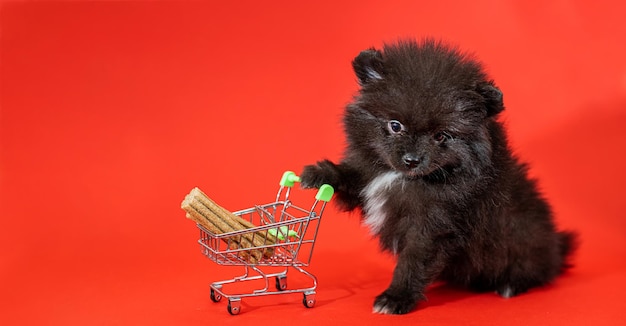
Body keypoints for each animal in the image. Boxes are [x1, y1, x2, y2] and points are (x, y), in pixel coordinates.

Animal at [300, 39, 572, 314]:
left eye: (441, 136)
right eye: (395, 125)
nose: (412, 160)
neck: (401, 177)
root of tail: (557, 246)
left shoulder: (432, 224)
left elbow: (413, 261)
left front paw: (395, 297)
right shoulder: (367, 179)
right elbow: (350, 177)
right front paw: (318, 174)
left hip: (523, 241)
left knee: (536, 270)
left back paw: (510, 285)